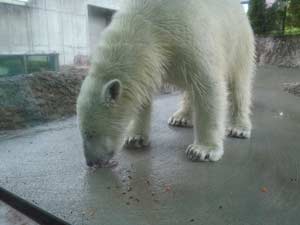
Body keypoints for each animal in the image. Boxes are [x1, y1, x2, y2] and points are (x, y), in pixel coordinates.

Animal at [76, 0, 254, 167]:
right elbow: (142, 93)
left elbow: (208, 85)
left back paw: (239, 128)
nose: (91, 162)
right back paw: (180, 118)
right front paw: (134, 138)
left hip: (239, 41)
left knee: (239, 83)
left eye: (90, 133)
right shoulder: (153, 60)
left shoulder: (189, 36)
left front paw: (202, 150)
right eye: (82, 132)